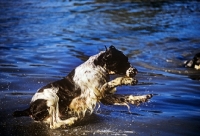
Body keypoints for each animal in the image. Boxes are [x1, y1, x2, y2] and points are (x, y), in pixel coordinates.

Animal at [12, 45, 153, 129]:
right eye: (123, 61)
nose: (135, 70)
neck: (98, 67)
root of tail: (29, 108)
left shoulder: (105, 97)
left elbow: (126, 97)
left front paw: (143, 97)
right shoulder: (98, 92)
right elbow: (113, 82)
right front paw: (127, 80)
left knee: (54, 121)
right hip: (52, 97)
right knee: (54, 123)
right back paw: (70, 120)